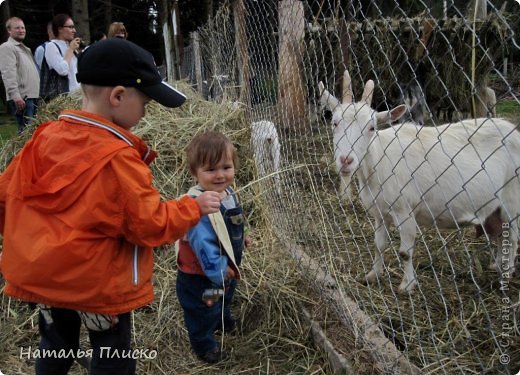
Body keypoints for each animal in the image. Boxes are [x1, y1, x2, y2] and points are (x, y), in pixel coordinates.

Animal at [318, 70, 516, 294]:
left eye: (371, 128)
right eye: (334, 123)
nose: (346, 160)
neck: (379, 159)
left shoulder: (405, 211)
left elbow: (405, 252)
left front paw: (406, 285)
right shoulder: (380, 212)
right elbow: (378, 244)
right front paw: (372, 275)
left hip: (512, 198)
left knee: (513, 237)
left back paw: (507, 273)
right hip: (496, 207)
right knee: (501, 235)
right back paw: (497, 265)